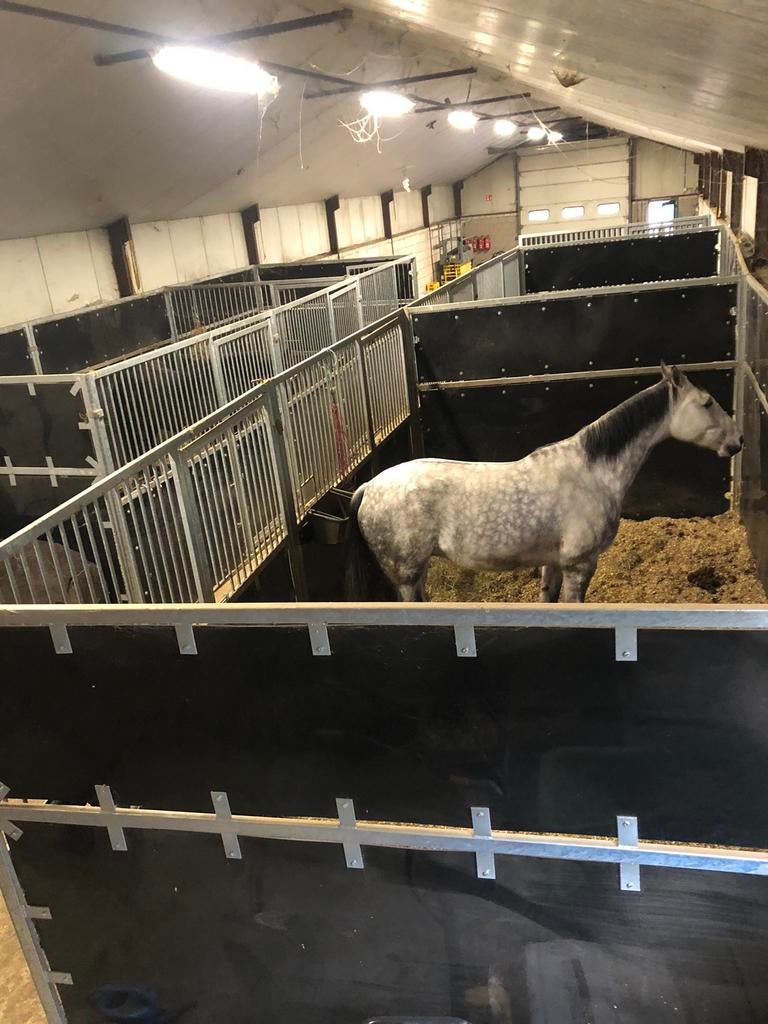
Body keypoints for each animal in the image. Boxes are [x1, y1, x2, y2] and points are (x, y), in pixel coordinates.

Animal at [346, 364, 743, 603]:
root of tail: (368, 488)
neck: (593, 472)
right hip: (406, 573)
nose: (737, 440)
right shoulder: (580, 565)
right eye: (707, 402)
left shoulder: (553, 563)